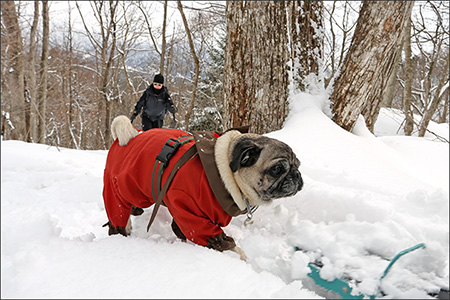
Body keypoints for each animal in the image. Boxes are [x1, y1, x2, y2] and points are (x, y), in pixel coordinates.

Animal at [103, 115, 304, 260]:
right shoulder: (194, 218)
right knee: (117, 215)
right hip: (120, 191)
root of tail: (130, 136)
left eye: (298, 165)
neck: (225, 174)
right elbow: (226, 244)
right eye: (277, 169)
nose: (296, 175)